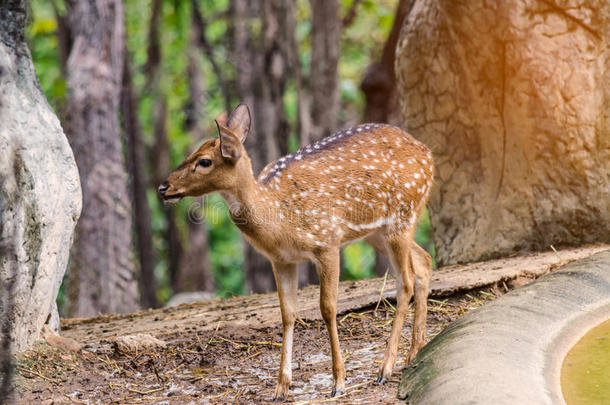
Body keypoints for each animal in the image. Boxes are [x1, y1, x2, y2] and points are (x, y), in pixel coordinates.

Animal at [157, 103, 432, 398]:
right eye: (190, 153)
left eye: (205, 161)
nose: (163, 187)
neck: (278, 218)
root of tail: (428, 153)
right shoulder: (282, 260)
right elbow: (287, 314)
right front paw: (281, 387)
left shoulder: (327, 241)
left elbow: (327, 308)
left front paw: (338, 382)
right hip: (377, 232)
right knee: (423, 262)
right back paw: (413, 353)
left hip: (402, 215)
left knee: (405, 281)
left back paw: (386, 368)